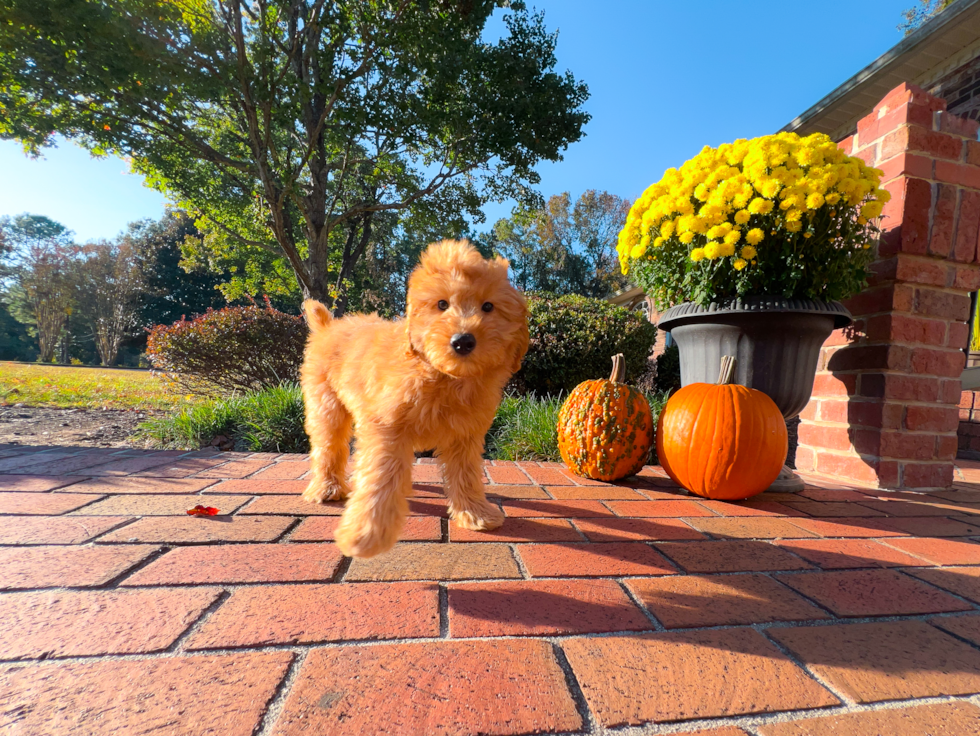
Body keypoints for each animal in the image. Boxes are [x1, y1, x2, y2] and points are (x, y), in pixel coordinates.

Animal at [300, 239, 528, 556]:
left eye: (488, 306)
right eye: (441, 304)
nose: (462, 341)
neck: (443, 377)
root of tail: (327, 327)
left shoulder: (466, 435)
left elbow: (467, 473)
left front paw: (475, 513)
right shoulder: (387, 428)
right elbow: (381, 476)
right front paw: (365, 534)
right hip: (326, 404)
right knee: (328, 446)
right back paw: (327, 488)